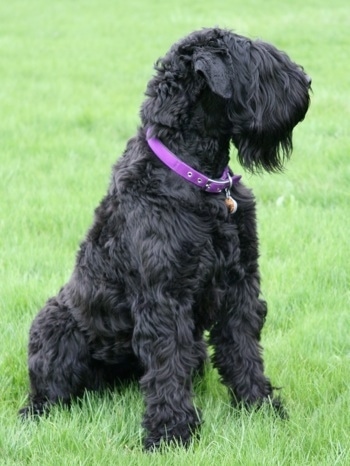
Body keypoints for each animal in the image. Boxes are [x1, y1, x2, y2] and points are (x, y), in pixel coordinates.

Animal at [20, 28, 310, 448]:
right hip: (55, 323)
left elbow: (243, 350)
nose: (307, 83)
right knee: (49, 389)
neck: (197, 179)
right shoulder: (164, 295)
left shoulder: (240, 283)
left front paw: (261, 408)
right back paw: (37, 412)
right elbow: (167, 361)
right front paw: (171, 433)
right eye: (253, 59)